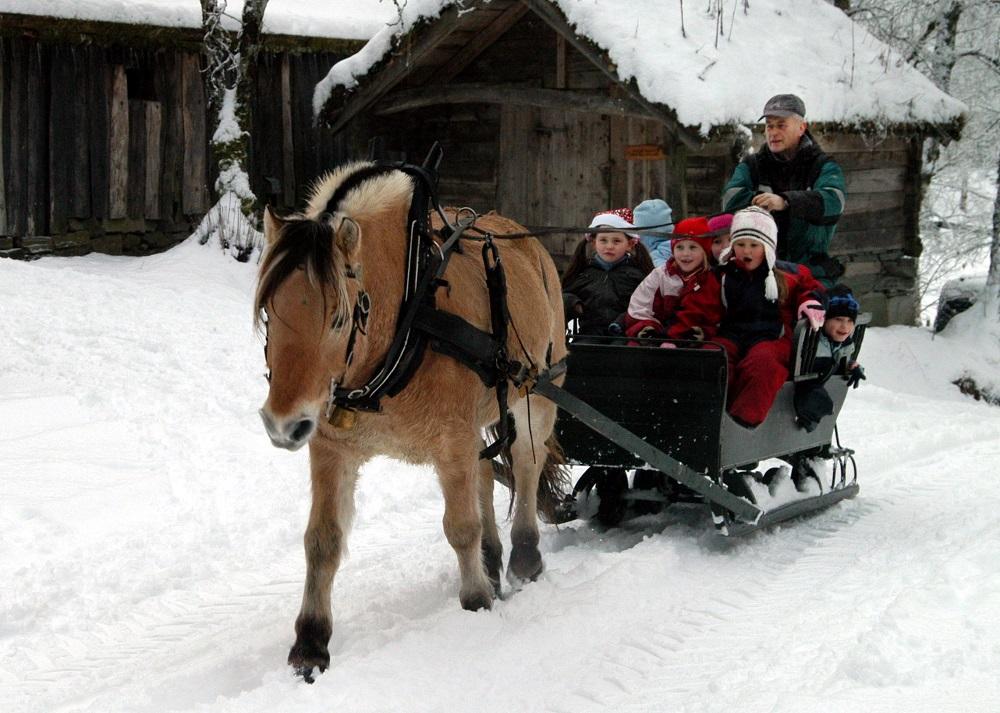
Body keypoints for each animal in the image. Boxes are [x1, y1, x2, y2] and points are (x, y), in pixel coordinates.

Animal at [254, 161, 572, 680]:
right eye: (267, 315)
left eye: (339, 318)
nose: (283, 425)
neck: (409, 312)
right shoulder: (332, 447)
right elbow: (322, 541)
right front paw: (311, 642)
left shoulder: (452, 438)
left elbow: (459, 526)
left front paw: (476, 602)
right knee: (486, 473)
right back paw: (492, 559)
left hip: (538, 391)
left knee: (526, 465)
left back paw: (524, 557)